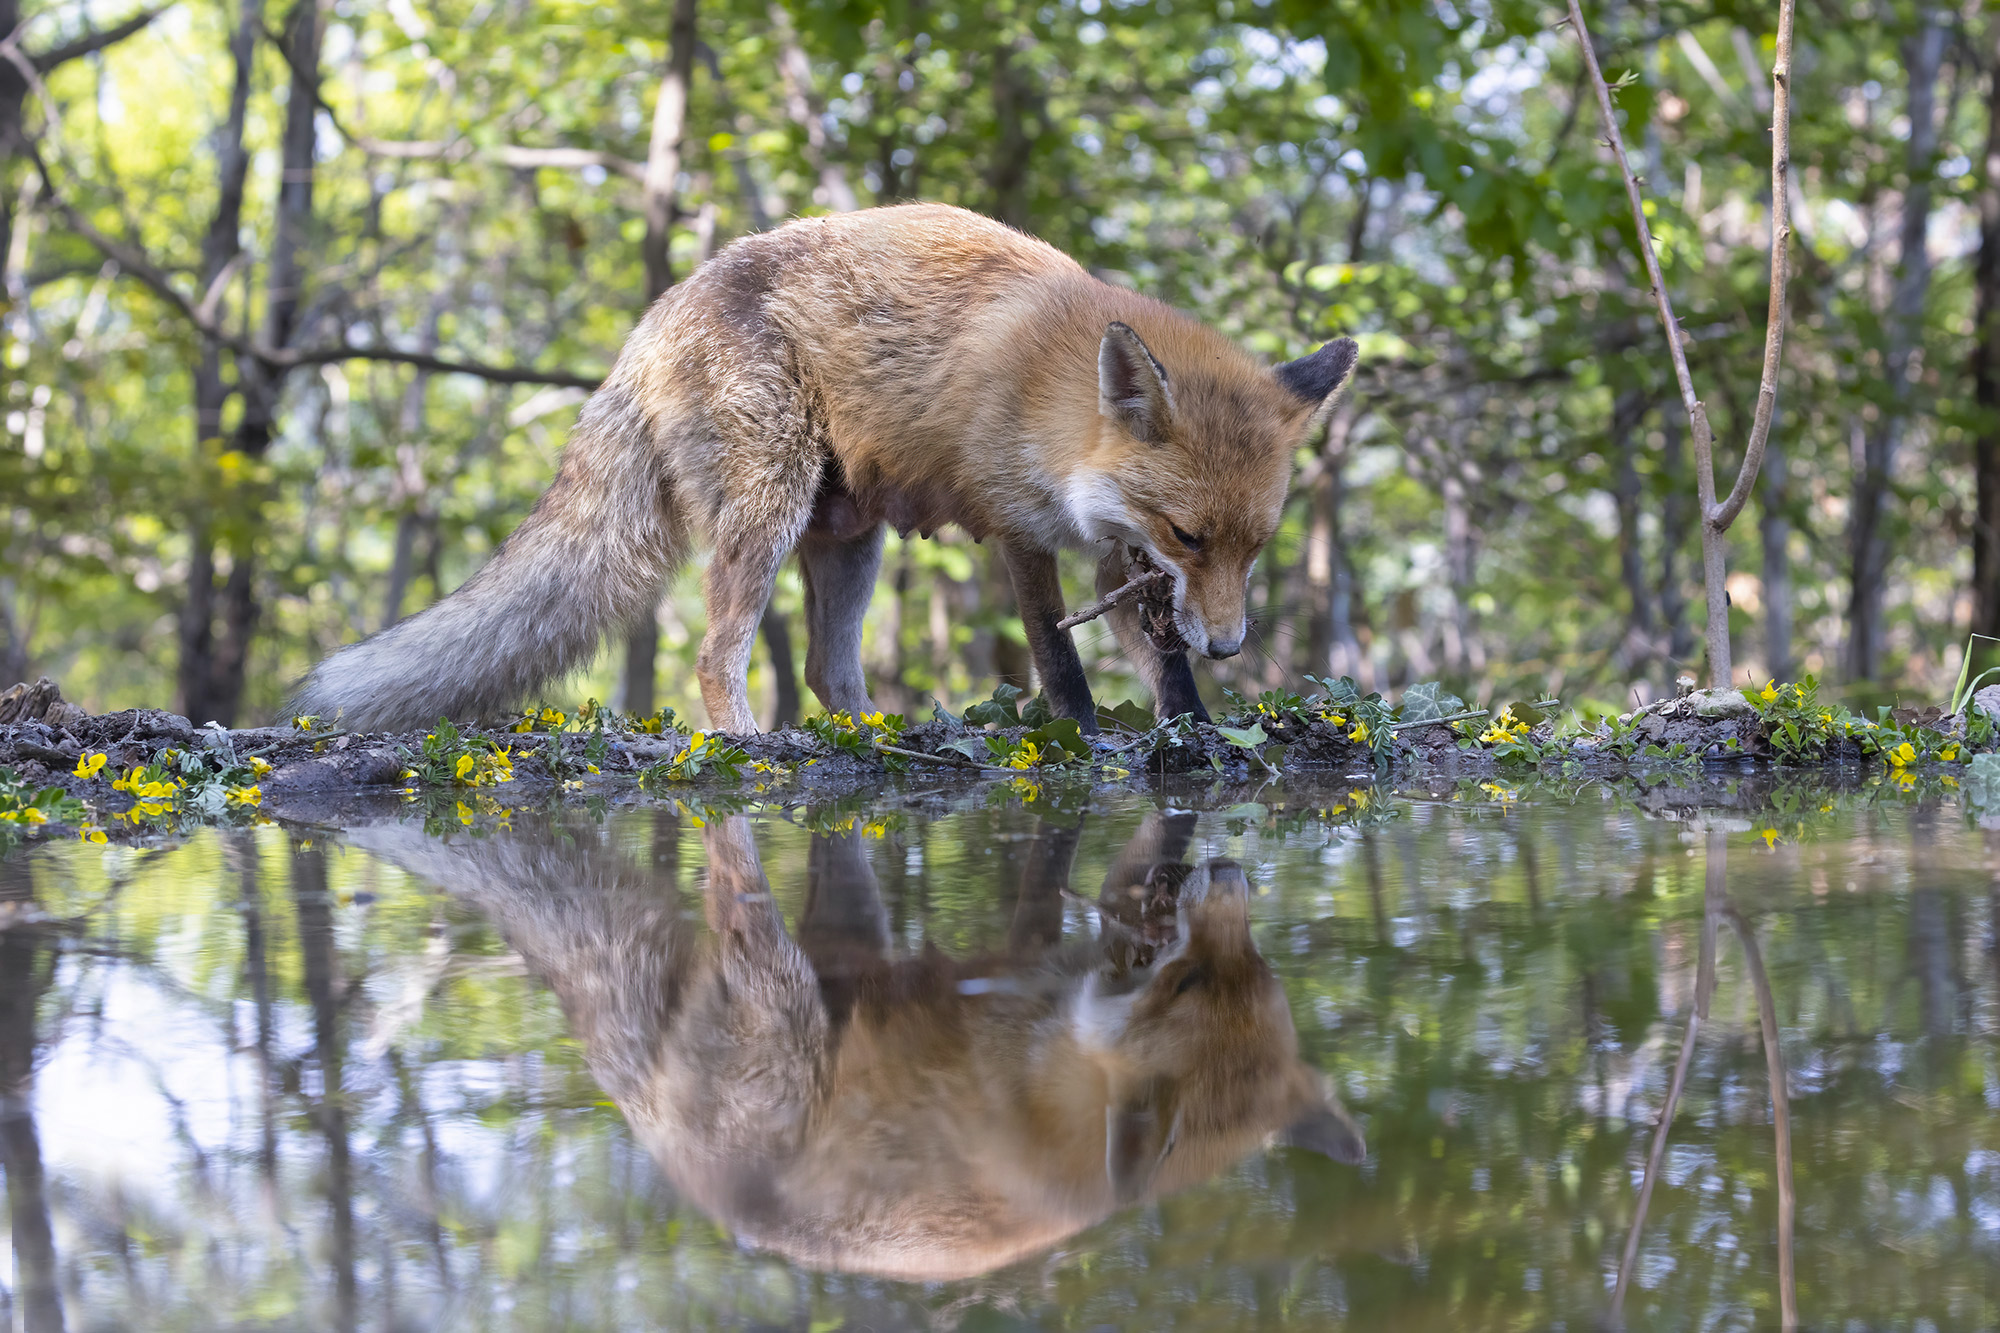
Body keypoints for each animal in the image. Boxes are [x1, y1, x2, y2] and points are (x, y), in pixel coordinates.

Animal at [291, 203, 1358, 734]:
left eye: (1256, 546)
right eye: (1190, 533)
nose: (1234, 646)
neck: (1053, 396)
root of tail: (650, 323)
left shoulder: (1117, 552)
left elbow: (1159, 655)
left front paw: (1196, 730)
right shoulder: (1020, 527)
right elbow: (1057, 657)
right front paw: (1086, 729)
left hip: (851, 539)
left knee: (822, 669)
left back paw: (874, 735)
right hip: (768, 508)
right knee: (717, 654)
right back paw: (744, 744)